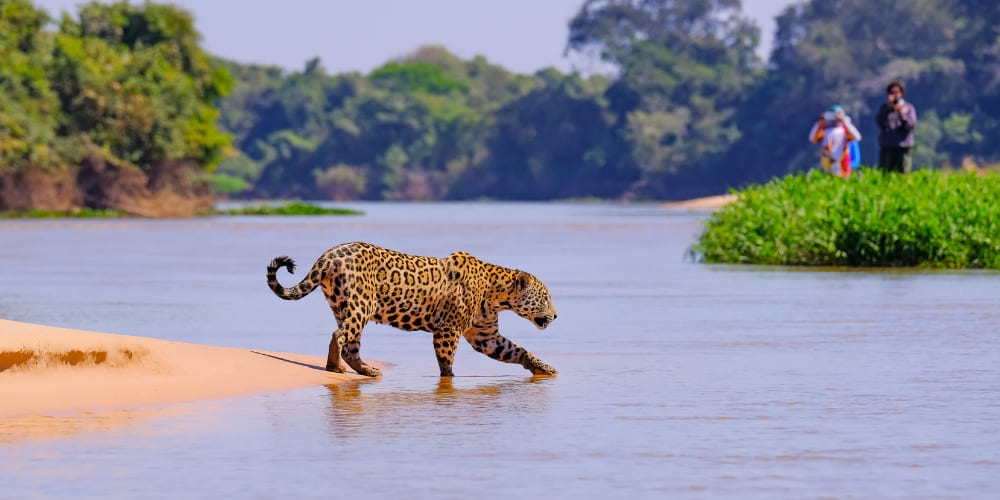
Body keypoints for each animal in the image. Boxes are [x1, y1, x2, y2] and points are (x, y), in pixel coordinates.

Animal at [266, 242, 559, 378]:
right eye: (546, 298)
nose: (556, 315)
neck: (497, 294)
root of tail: (329, 255)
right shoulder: (448, 330)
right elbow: (446, 362)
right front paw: (449, 380)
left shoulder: (485, 336)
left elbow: (518, 350)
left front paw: (545, 368)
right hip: (361, 304)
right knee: (340, 336)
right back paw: (334, 367)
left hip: (344, 305)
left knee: (350, 344)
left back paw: (367, 371)